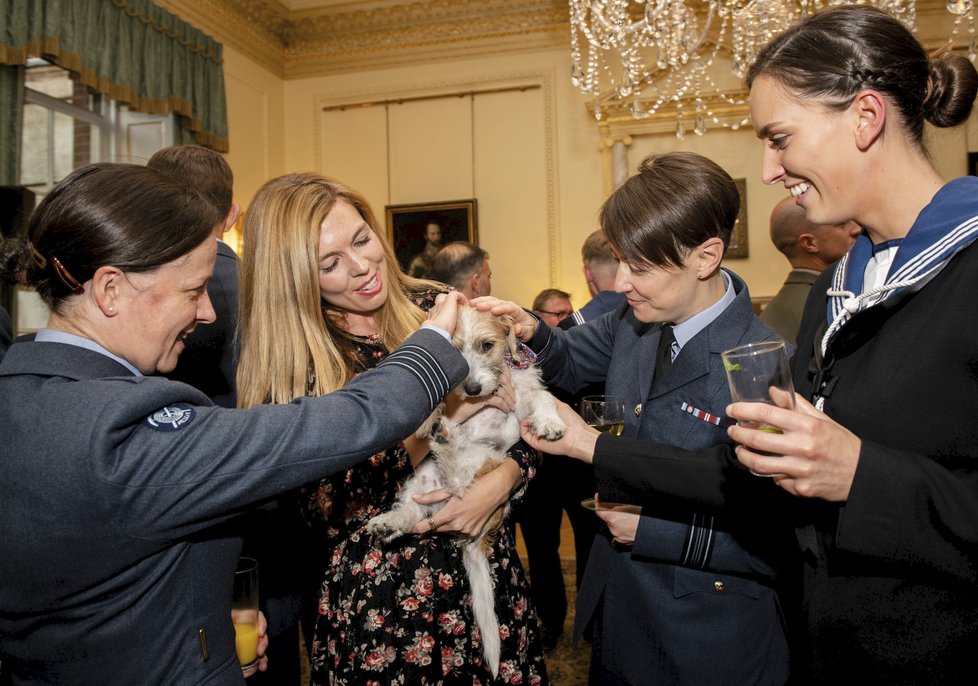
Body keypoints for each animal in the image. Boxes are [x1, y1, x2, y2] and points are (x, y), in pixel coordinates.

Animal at [366, 308, 564, 676]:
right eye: (453, 351)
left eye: (487, 345)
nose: (471, 388)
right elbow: (434, 396)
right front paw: (426, 419)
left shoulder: (521, 397)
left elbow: (542, 397)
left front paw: (550, 422)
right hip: (423, 479)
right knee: (413, 510)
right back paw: (389, 521)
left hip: (485, 462)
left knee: (458, 475)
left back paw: (446, 439)